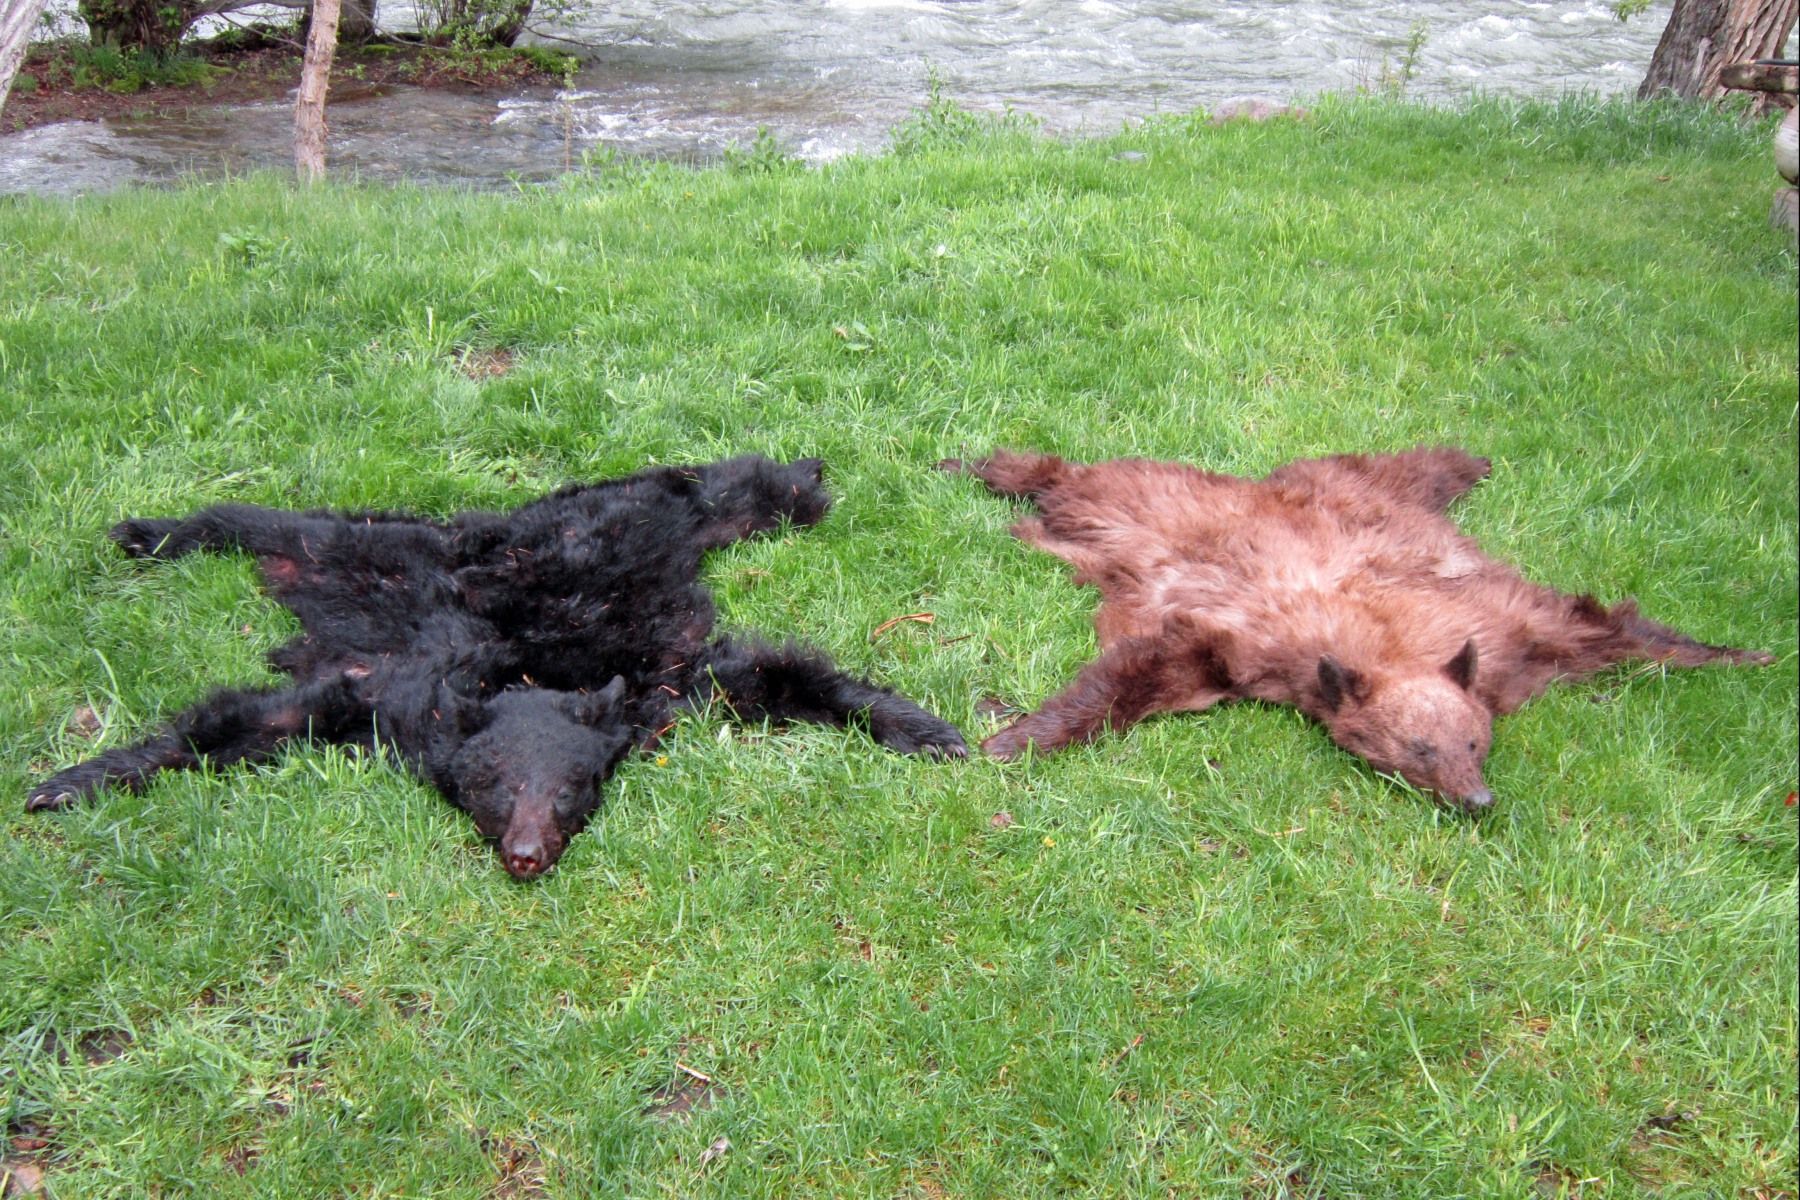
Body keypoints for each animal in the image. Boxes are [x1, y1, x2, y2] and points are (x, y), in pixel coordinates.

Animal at [29, 455, 966, 876]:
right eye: (494, 785)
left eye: (572, 789)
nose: (526, 853)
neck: (524, 676)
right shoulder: (391, 690)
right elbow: (259, 717)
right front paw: (77, 779)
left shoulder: (666, 677)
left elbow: (782, 675)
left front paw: (925, 729)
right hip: (387, 549)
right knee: (270, 524)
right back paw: (151, 531)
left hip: (649, 519)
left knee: (735, 490)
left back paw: (801, 479)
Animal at [942, 446, 1772, 810]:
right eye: (1416, 750)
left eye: (1476, 744)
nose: (1477, 799)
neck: (1386, 642)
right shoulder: (1242, 641)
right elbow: (1143, 672)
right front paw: (1015, 737)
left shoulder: (1508, 632)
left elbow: (1604, 627)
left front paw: (1738, 650)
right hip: (1139, 496)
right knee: (1063, 473)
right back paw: (983, 467)